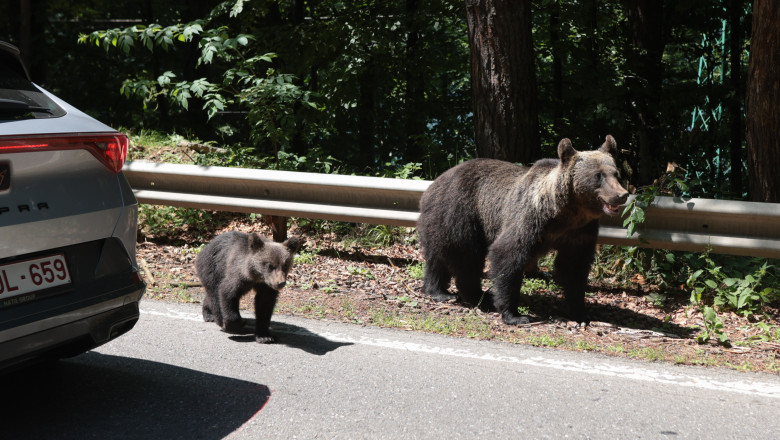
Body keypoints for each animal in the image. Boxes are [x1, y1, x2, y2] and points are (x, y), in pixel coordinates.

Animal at [418, 136, 632, 324]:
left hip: (439, 222)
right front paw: (514, 314)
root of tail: (433, 184)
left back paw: (439, 292)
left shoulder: (580, 232)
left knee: (437, 258)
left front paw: (581, 313)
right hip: (460, 212)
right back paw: (479, 296)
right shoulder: (530, 219)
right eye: (598, 176)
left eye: (615, 173)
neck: (566, 213)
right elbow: (508, 255)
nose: (621, 195)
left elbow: (574, 268)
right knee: (466, 256)